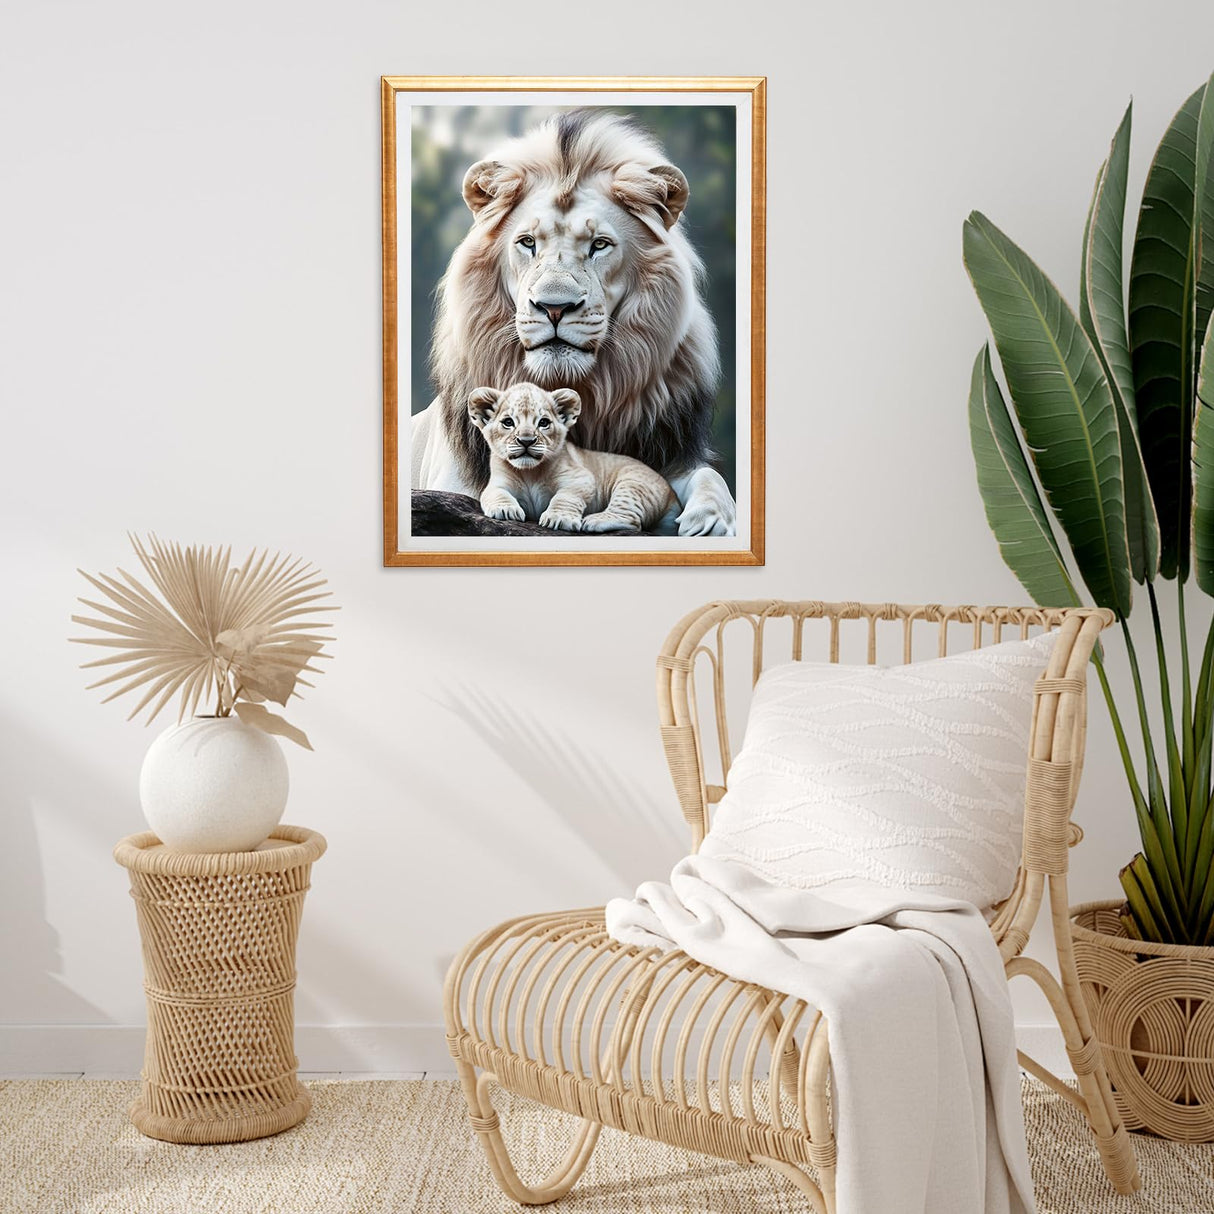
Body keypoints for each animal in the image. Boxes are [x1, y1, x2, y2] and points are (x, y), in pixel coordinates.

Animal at [468, 382, 680, 534]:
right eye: (508, 422)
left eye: (543, 422)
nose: (526, 441)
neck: (530, 472)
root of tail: (673, 495)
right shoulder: (497, 482)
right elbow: (495, 494)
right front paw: (506, 511)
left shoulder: (582, 478)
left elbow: (566, 495)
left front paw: (559, 518)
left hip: (633, 484)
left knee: (633, 520)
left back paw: (593, 521)